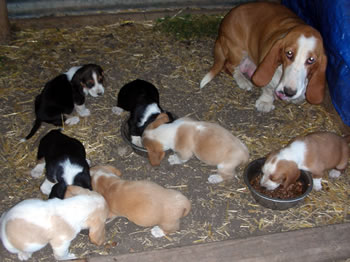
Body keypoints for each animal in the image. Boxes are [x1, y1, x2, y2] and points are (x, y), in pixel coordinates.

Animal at [200, 2, 328, 112]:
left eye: (311, 60)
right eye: (289, 53)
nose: (288, 92)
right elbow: (268, 89)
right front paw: (265, 102)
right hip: (238, 51)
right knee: (229, 66)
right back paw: (243, 81)